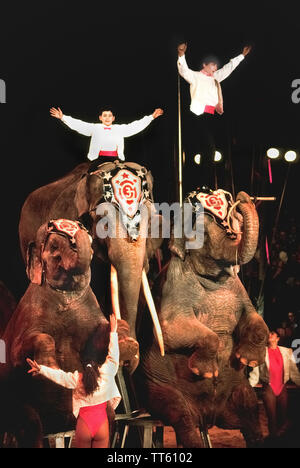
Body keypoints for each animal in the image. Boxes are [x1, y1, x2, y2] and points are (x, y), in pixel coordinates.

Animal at [0, 219, 125, 446]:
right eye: (54, 248)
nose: (79, 227)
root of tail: (59, 428)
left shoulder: (91, 311)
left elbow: (99, 341)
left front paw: (125, 337)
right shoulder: (27, 317)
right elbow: (21, 351)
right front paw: (48, 366)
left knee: (110, 415)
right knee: (31, 425)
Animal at [136, 188, 270, 448]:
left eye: (231, 222)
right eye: (204, 234)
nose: (242, 197)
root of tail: (208, 418)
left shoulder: (239, 288)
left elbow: (255, 318)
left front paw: (247, 359)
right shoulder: (174, 285)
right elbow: (168, 331)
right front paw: (206, 371)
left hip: (240, 390)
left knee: (249, 409)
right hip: (159, 389)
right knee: (182, 418)